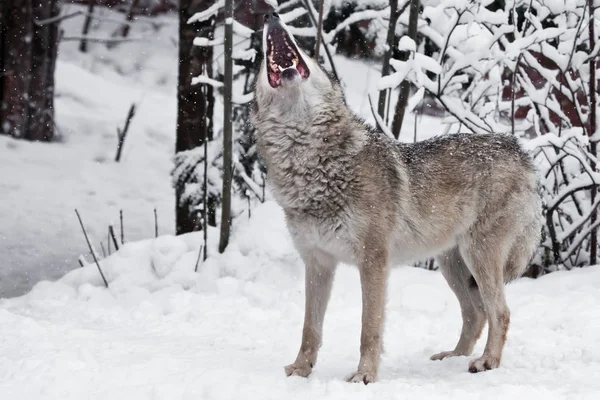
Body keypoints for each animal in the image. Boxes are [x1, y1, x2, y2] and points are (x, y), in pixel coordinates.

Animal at [251, 11, 540, 384]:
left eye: (307, 53)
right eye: (260, 60)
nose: (271, 15)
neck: (313, 164)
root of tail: (519, 149)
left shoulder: (373, 261)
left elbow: (368, 328)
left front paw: (364, 376)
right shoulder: (317, 263)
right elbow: (309, 328)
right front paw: (301, 371)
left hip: (478, 256)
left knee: (500, 312)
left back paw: (486, 362)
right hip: (453, 265)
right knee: (475, 313)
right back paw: (453, 357)